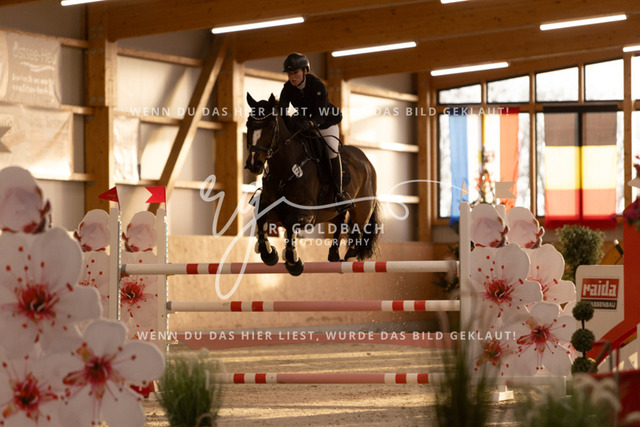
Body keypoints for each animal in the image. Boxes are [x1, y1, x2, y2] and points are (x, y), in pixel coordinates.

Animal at [244, 93, 381, 276]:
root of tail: (366, 160)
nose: (254, 164)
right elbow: (261, 216)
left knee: (357, 228)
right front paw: (269, 254)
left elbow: (289, 222)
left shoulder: (306, 213)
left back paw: (350, 256)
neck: (284, 169)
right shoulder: (271, 208)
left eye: (271, 125)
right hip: (332, 211)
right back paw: (334, 254)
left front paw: (293, 262)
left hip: (362, 208)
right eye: (248, 124)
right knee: (340, 222)